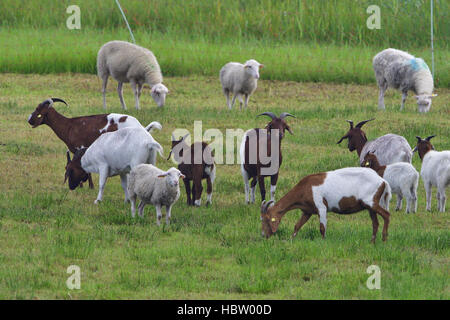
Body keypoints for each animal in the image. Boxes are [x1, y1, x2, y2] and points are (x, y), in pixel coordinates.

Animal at [260, 166, 390, 244]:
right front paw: (291, 239)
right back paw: (372, 242)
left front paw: (323, 243)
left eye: (267, 219)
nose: (263, 235)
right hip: (370, 207)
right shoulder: (307, 211)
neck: (306, 187)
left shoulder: (321, 207)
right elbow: (297, 225)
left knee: (387, 215)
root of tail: (382, 181)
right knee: (375, 223)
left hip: (371, 202)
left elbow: (322, 228)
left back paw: (384, 239)